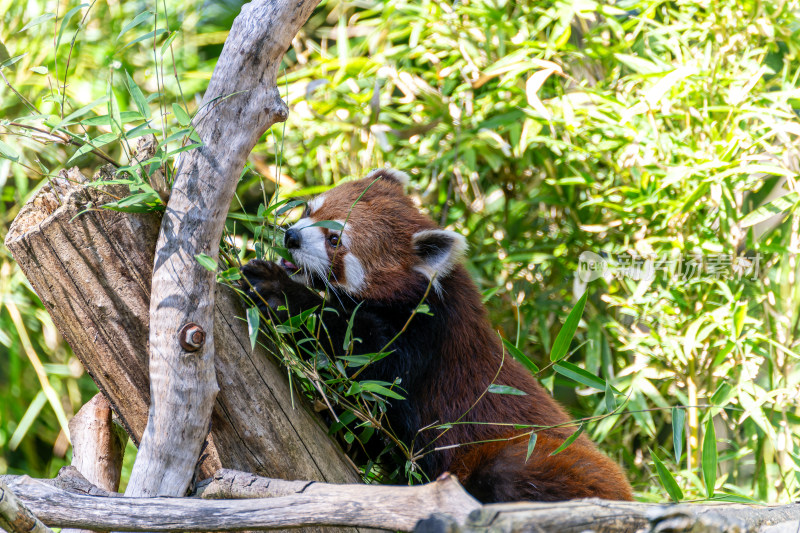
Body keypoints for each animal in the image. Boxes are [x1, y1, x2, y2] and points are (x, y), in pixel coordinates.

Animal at [241, 168, 636, 500]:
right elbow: (363, 422)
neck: (420, 296)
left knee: (507, 475)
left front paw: (280, 291)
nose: (291, 236)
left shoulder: (425, 337)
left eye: (334, 239)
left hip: (536, 453)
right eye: (310, 209)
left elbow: (361, 348)